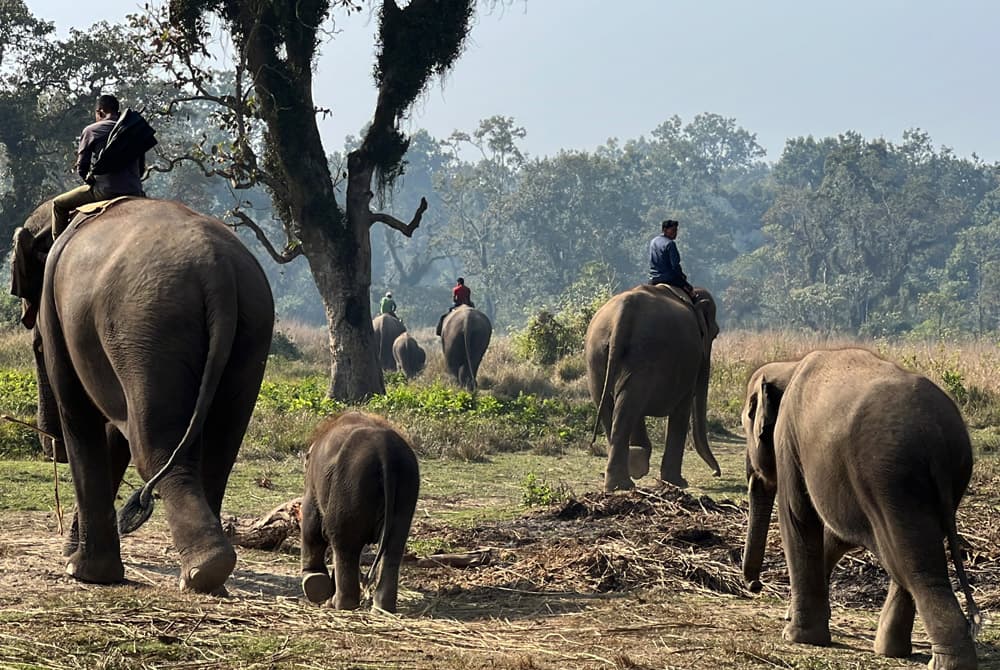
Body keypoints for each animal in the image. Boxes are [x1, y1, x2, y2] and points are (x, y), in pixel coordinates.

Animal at [9, 197, 276, 596]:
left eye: (37, 346)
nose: (48, 444)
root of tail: (219, 274)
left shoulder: (59, 316)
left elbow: (81, 414)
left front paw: (81, 570)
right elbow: (114, 435)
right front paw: (75, 554)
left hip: (149, 329)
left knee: (155, 448)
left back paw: (202, 571)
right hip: (252, 328)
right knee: (220, 449)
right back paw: (207, 571)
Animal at [298, 412, 420, 616]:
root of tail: (386, 453)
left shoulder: (313, 485)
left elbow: (311, 523)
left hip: (350, 484)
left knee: (344, 542)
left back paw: (338, 604)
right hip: (406, 488)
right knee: (393, 546)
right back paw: (381, 609)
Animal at [584, 284, 720, 494]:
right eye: (715, 333)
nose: (716, 474)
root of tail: (623, 314)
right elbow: (682, 409)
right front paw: (678, 482)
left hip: (597, 356)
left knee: (612, 405)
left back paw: (621, 479)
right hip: (644, 354)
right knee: (627, 407)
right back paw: (625, 481)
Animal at [740, 352, 980, 670]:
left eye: (746, 420)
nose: (755, 585)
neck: (789, 366)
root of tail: (937, 436)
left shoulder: (788, 441)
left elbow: (798, 517)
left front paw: (796, 636)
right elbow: (835, 535)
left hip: (889, 479)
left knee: (912, 565)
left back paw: (944, 662)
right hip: (942, 481)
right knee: (910, 556)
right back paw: (890, 651)